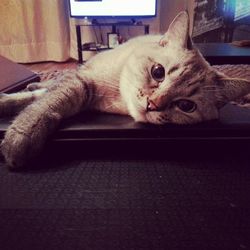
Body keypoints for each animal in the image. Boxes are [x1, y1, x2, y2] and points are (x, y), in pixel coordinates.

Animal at [0, 11, 250, 168]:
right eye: (158, 72)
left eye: (186, 105)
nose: (153, 104)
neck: (116, 99)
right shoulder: (81, 81)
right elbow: (40, 104)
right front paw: (19, 134)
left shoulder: (81, 93)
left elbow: (39, 102)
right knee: (47, 85)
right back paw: (33, 83)